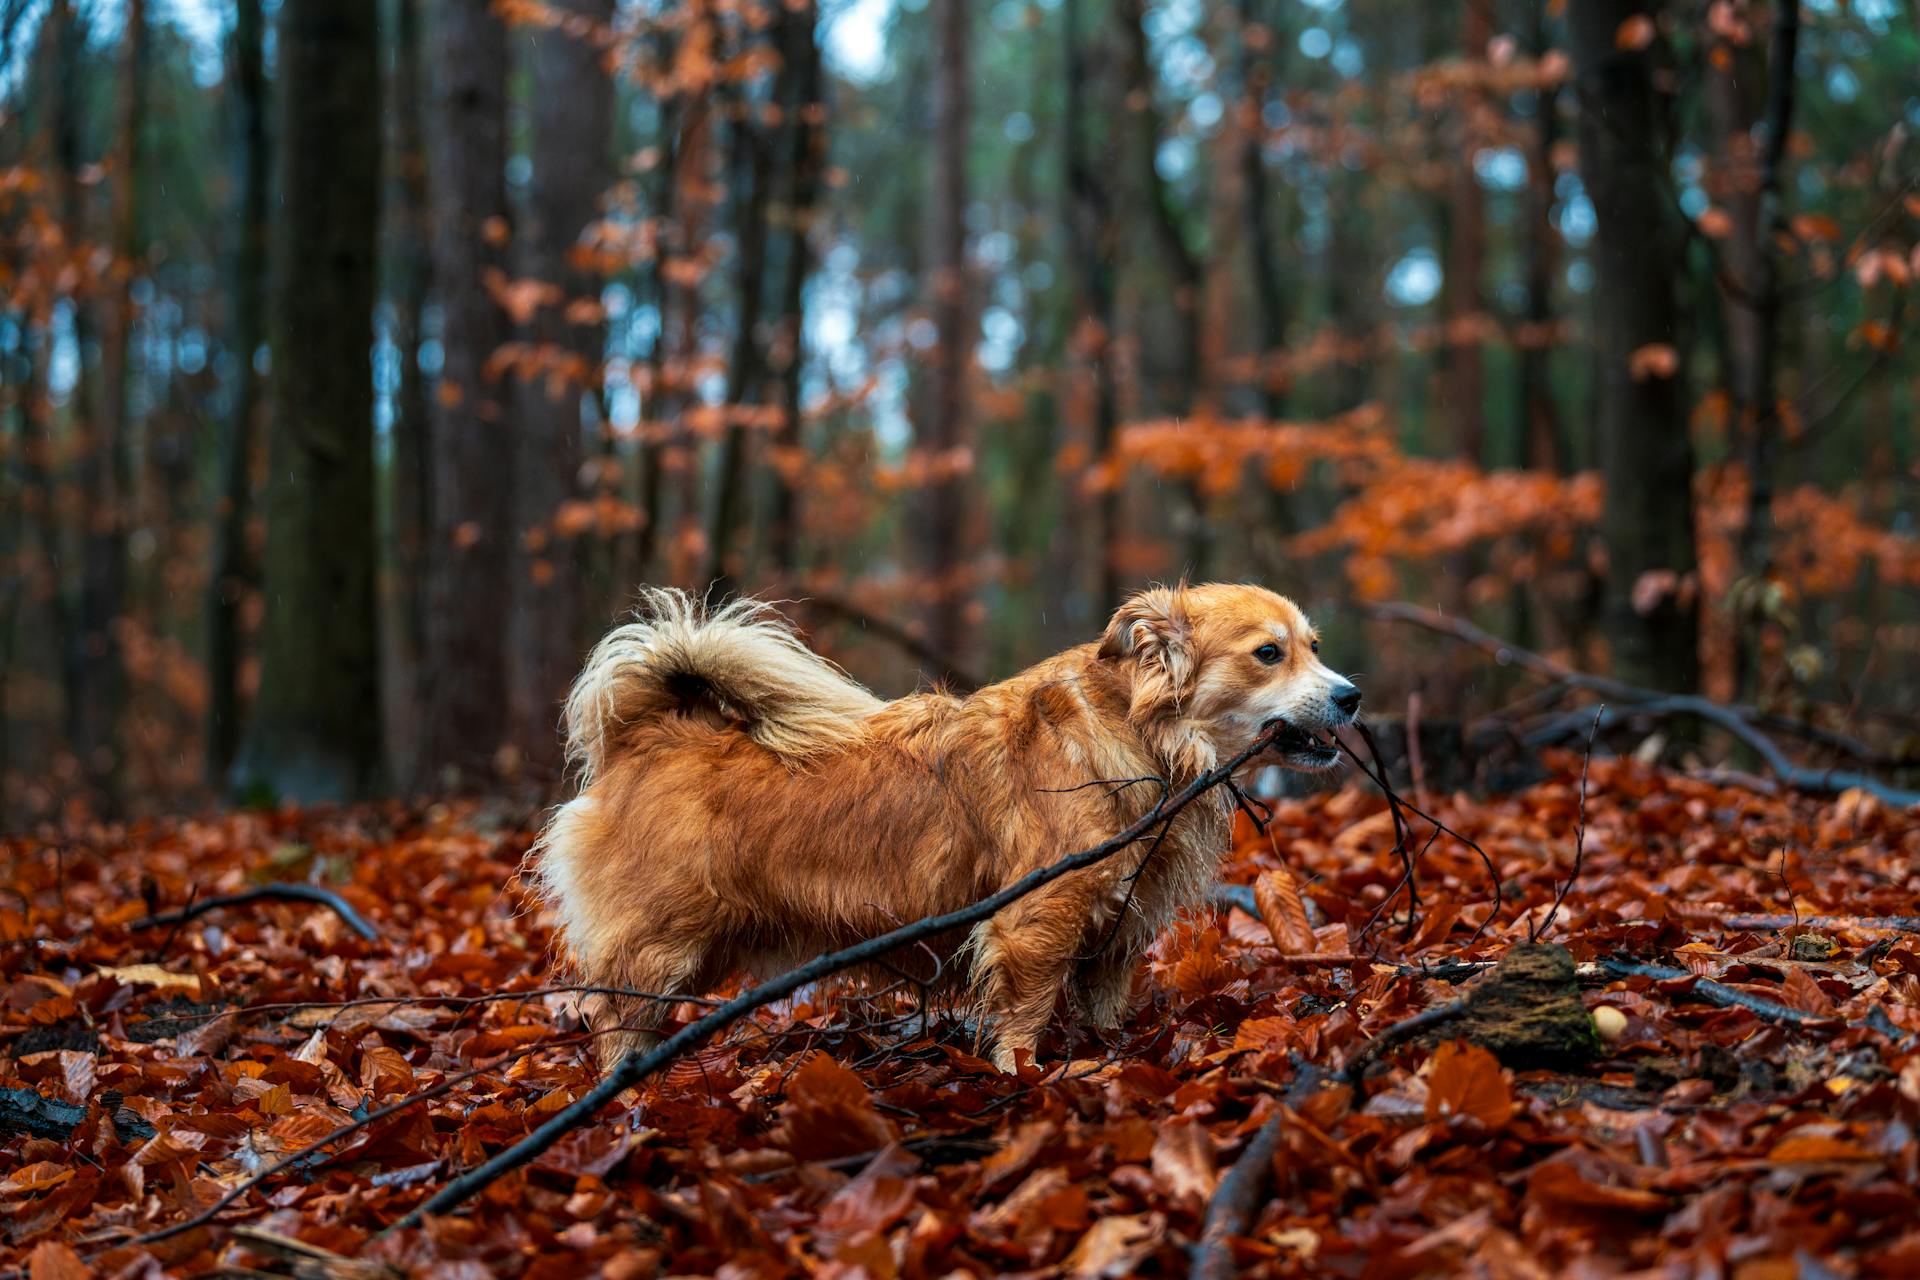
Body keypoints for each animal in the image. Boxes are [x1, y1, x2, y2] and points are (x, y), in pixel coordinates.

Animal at [533, 587, 1359, 1074]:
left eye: (1316, 647)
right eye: (1268, 654)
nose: (1352, 695)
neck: (1136, 734)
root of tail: (649, 732)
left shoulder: (1115, 940)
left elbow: (1103, 1014)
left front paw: (1109, 1061)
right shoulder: (1035, 925)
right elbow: (1024, 1019)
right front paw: (1029, 1083)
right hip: (656, 952)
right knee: (610, 1021)